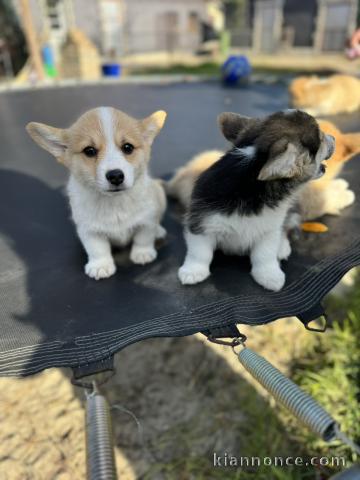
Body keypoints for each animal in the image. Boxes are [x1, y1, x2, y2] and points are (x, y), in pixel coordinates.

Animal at [26, 107, 167, 280]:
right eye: (89, 151)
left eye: (127, 147)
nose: (116, 176)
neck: (114, 202)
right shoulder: (89, 230)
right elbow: (97, 249)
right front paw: (101, 266)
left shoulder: (146, 220)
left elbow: (143, 237)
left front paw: (142, 254)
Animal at [167, 119, 358, 219]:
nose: (332, 138)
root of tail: (175, 182)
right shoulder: (310, 202)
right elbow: (330, 198)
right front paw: (346, 193)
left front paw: (340, 185)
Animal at [177, 111, 334, 292]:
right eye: (321, 138)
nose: (333, 138)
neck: (250, 183)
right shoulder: (202, 223)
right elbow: (199, 253)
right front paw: (193, 271)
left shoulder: (270, 231)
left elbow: (265, 255)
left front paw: (269, 275)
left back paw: (282, 247)